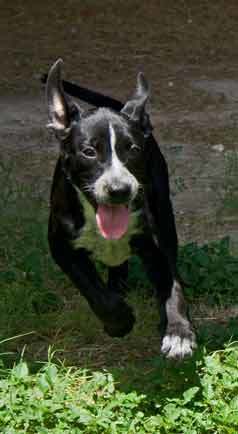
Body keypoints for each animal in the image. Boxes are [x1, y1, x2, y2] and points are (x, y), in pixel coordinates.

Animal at [45, 61, 196, 360]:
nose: (119, 189)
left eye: (133, 149)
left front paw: (179, 332)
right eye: (89, 151)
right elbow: (93, 289)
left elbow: (172, 284)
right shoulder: (61, 246)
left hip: (164, 213)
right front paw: (119, 320)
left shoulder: (157, 242)